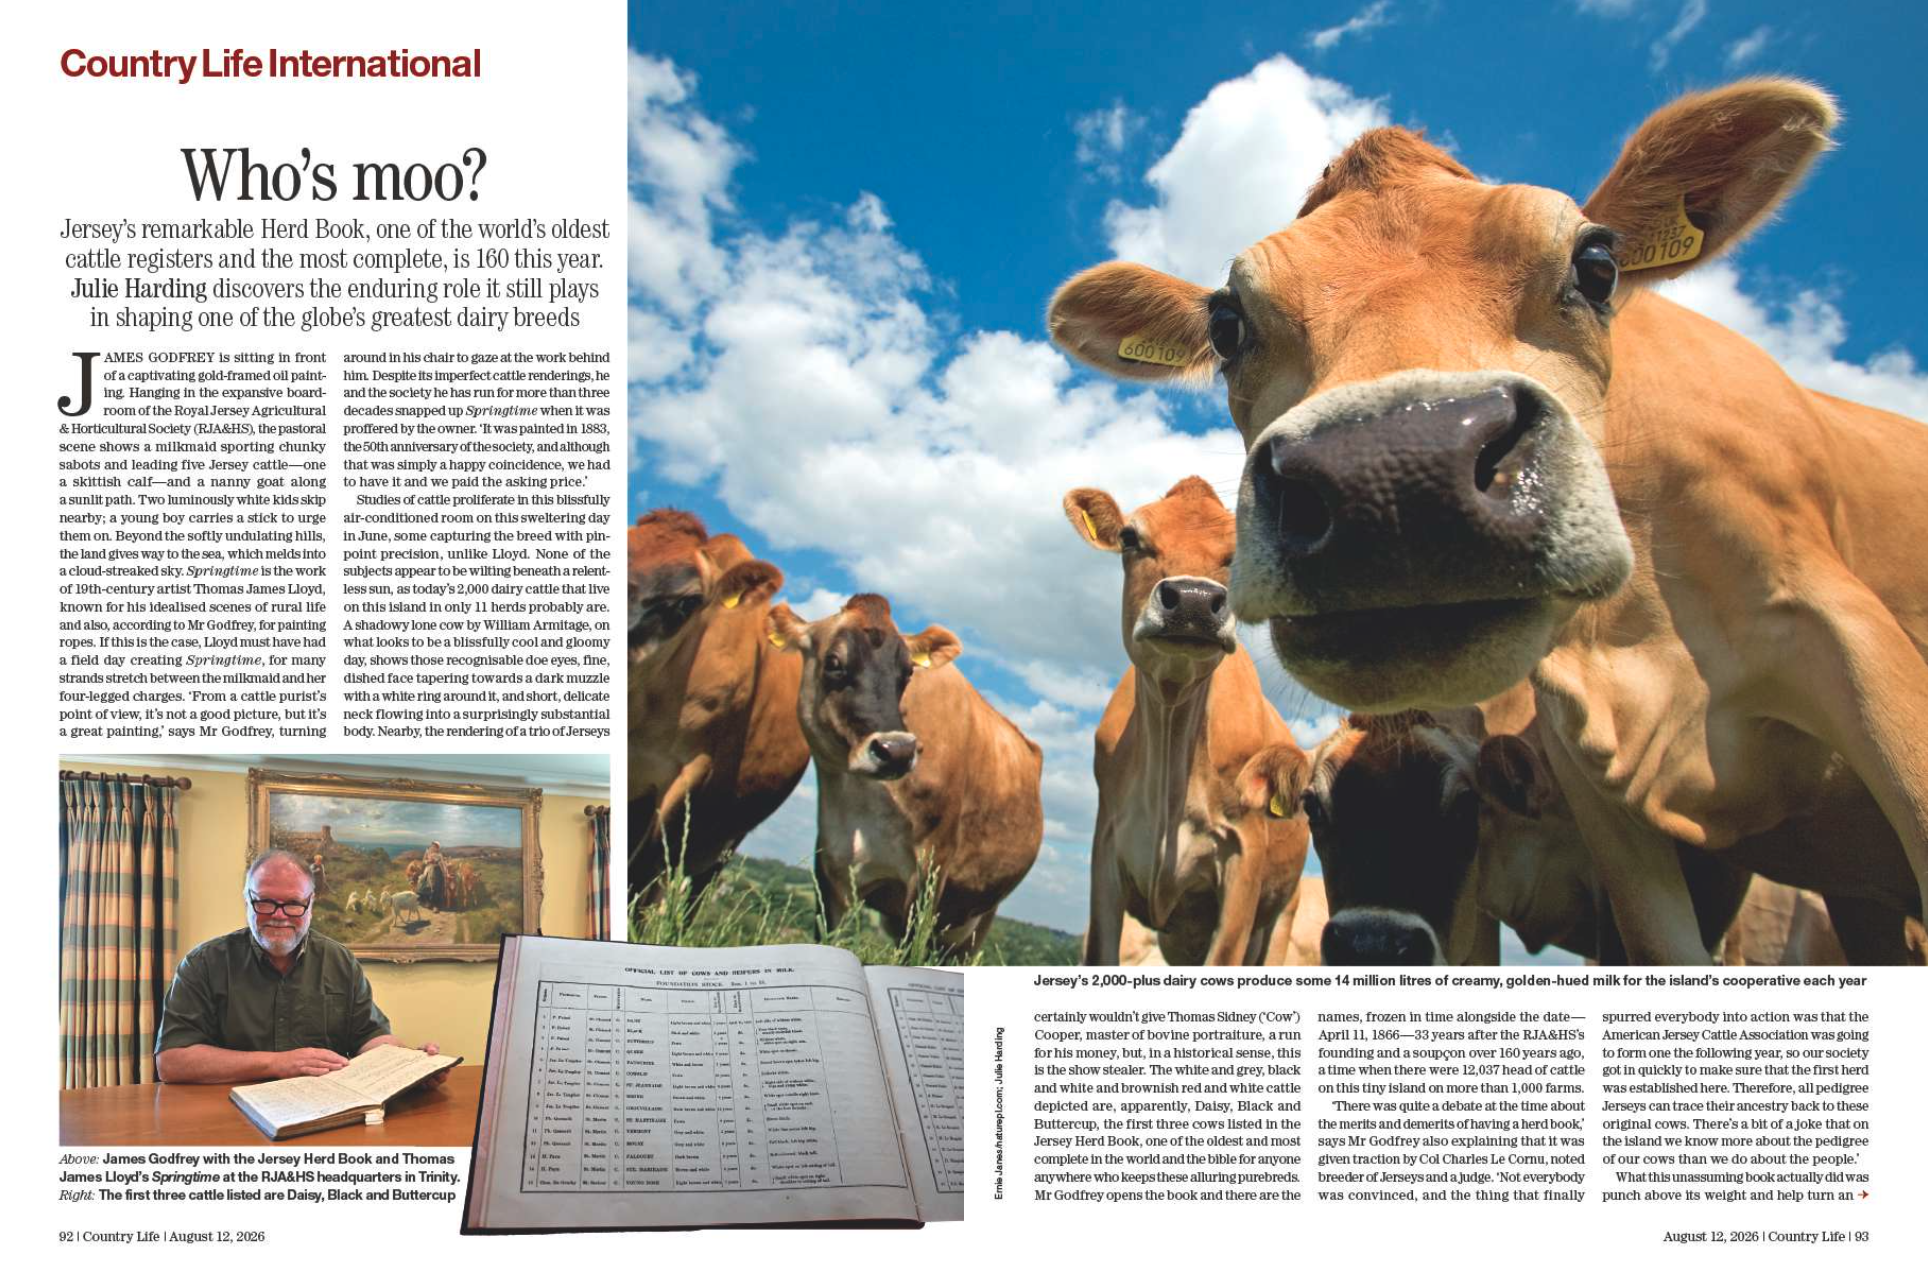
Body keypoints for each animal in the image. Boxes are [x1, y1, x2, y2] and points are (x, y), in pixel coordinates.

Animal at [767, 594, 1043, 955]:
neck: (866, 802)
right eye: (834, 662)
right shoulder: (831, 864)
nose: (896, 750)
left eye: (908, 672)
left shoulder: (931, 869)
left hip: (978, 921)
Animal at [1065, 476, 1310, 966]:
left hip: (1283, 910)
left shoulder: (1244, 857)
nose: (1194, 601)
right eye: (1129, 537)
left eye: (1239, 554)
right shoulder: (1106, 848)